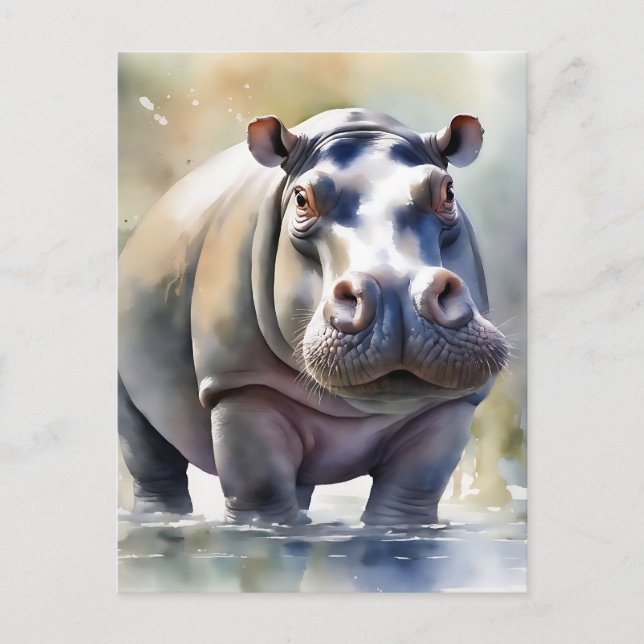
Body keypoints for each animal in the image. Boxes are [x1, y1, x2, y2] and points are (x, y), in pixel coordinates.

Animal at [118, 108, 508, 526]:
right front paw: (266, 532)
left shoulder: (448, 407)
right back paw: (158, 517)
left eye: (448, 191)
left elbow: (410, 495)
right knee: (149, 455)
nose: (397, 293)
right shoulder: (238, 381)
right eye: (302, 199)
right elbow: (261, 492)